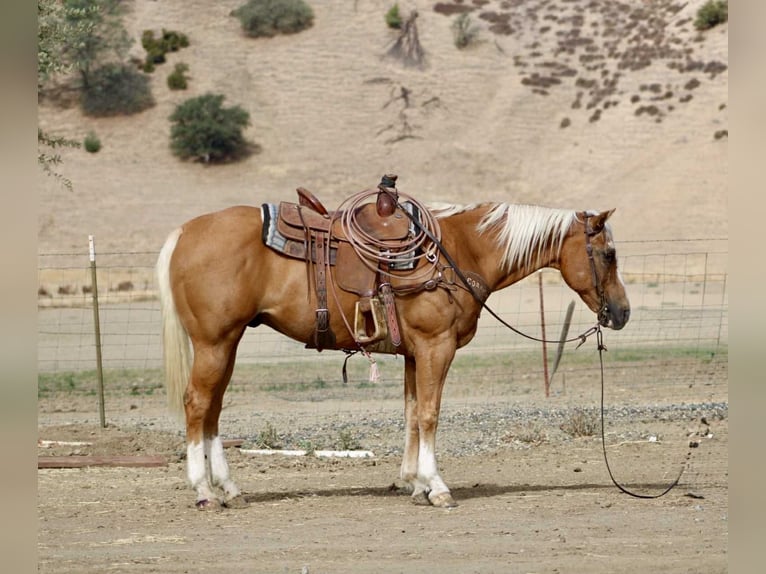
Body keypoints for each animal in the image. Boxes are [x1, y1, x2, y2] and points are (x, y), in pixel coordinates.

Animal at [156, 181, 630, 510]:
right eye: (609, 254)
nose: (622, 313)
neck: (458, 251)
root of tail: (184, 232)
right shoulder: (437, 347)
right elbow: (430, 414)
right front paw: (436, 487)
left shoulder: (414, 354)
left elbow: (411, 414)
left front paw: (414, 482)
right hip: (214, 342)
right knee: (198, 404)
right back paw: (204, 491)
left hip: (228, 342)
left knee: (214, 409)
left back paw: (230, 489)